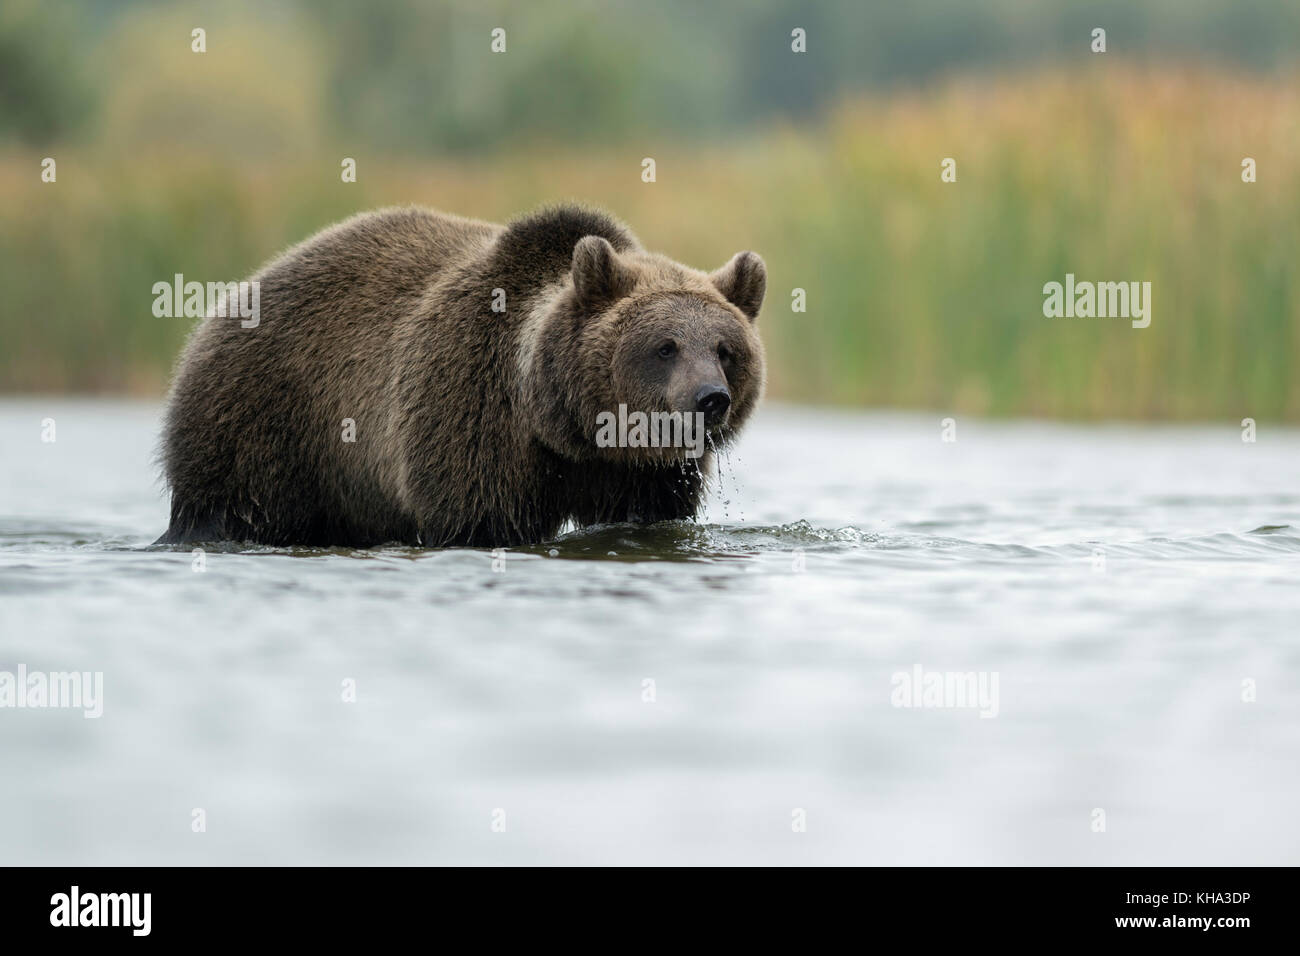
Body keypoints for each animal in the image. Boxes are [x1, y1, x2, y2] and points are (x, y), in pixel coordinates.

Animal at [154, 204, 759, 546]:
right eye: (665, 347)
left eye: (725, 349)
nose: (710, 398)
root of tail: (233, 297)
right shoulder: (471, 404)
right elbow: (478, 516)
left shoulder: (647, 473)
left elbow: (649, 516)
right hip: (266, 418)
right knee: (236, 504)